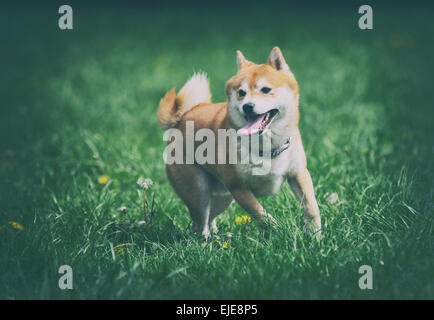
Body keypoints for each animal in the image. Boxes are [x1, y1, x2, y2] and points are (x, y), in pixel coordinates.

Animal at [158, 47, 320, 238]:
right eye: (241, 92)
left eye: (266, 89)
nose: (247, 106)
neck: (267, 148)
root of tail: (182, 118)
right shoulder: (238, 189)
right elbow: (262, 215)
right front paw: (280, 231)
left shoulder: (299, 175)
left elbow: (311, 206)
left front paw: (315, 234)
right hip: (199, 192)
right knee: (200, 223)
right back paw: (205, 240)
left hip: (223, 196)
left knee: (211, 216)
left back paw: (216, 236)